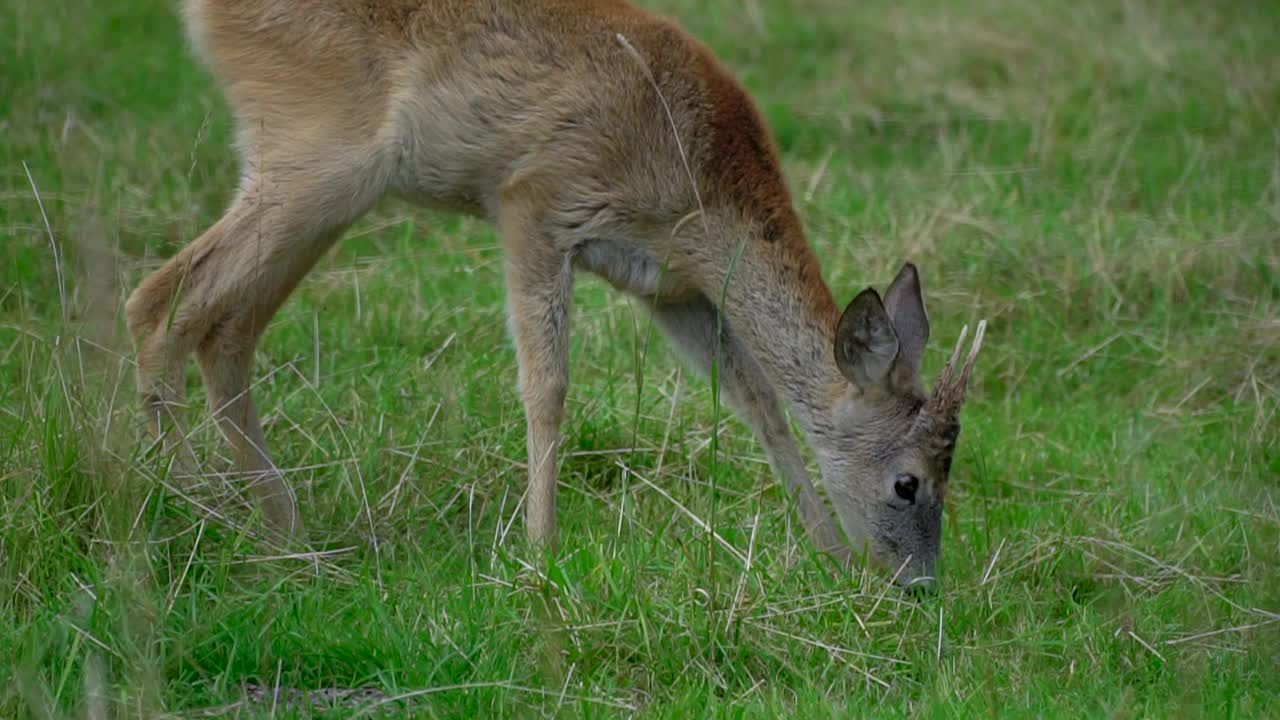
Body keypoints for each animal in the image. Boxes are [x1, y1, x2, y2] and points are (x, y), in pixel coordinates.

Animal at [127, 0, 988, 589]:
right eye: (908, 481)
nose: (919, 587)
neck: (699, 183)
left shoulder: (670, 286)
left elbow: (756, 400)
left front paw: (830, 553)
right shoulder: (537, 200)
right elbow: (548, 384)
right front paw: (540, 550)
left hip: (319, 180)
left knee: (222, 326)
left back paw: (280, 526)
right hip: (320, 153)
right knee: (162, 301)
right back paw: (190, 505)